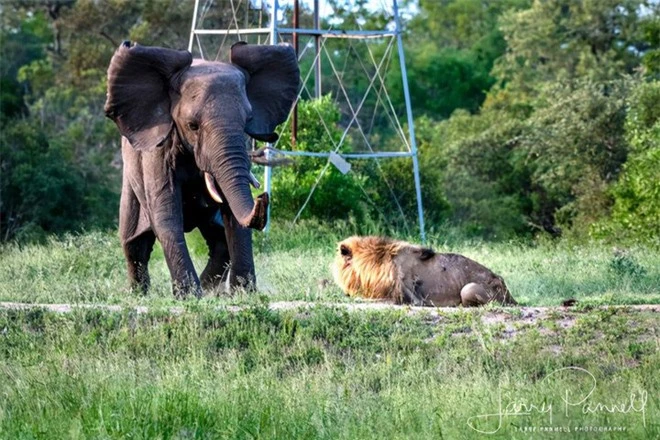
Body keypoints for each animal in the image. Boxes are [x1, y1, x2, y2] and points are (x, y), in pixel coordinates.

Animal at [104, 41, 300, 298]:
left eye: (247, 121)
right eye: (192, 126)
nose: (263, 196)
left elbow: (233, 215)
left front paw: (243, 293)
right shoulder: (157, 150)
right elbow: (166, 214)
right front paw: (188, 296)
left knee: (218, 240)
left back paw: (209, 290)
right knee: (134, 243)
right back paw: (138, 293)